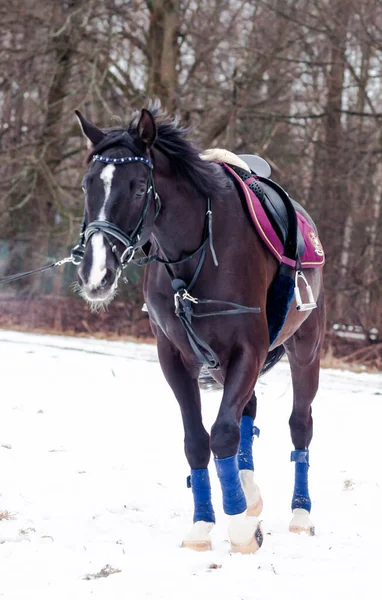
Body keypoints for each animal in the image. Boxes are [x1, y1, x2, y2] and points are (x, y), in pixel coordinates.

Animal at [73, 106, 324, 552]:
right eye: (87, 185)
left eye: (140, 188)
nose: (95, 273)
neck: (195, 251)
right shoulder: (175, 356)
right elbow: (197, 441)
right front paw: (205, 524)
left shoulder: (248, 348)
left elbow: (221, 433)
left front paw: (239, 528)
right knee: (248, 412)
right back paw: (249, 494)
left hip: (304, 350)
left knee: (300, 425)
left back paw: (299, 514)